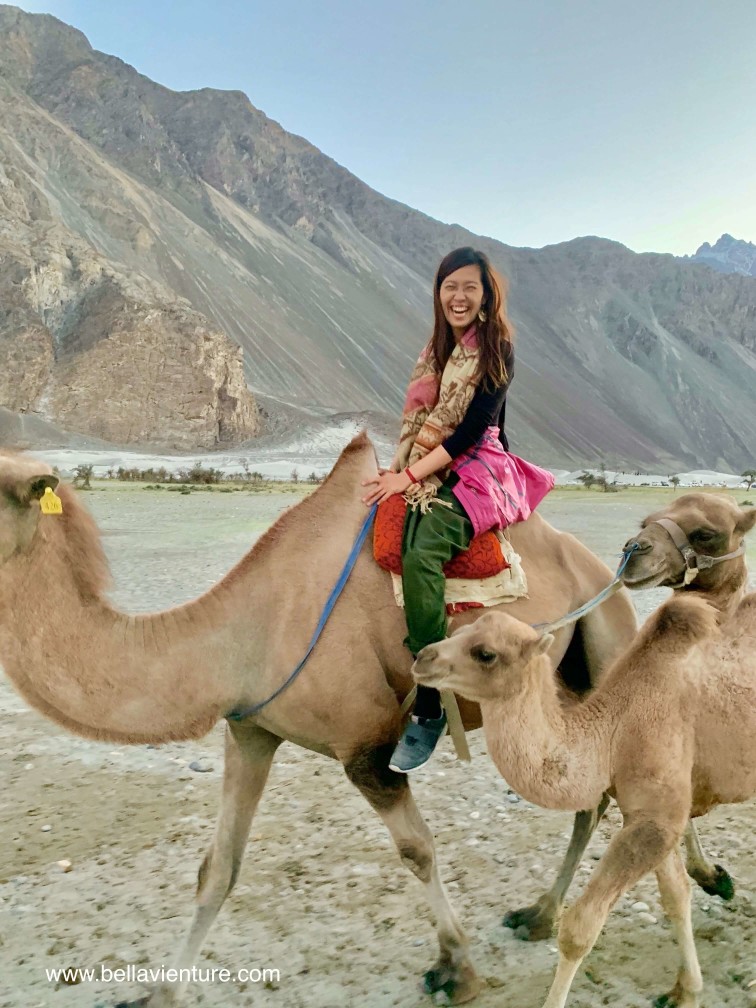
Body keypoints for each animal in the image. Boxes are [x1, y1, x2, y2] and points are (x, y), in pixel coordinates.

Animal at [0, 436, 640, 1006]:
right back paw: (540, 915)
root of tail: (599, 567)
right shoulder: (250, 731)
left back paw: (561, 915)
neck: (244, 633)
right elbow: (218, 868)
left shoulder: (366, 750)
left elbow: (418, 851)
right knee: (589, 794)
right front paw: (158, 994)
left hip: (608, 633)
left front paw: (456, 971)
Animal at [413, 587, 756, 1007]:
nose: (422, 658)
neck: (612, 733)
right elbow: (676, 895)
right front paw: (685, 990)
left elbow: (580, 928)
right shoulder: (647, 814)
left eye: (485, 653)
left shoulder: (657, 819)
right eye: (459, 630)